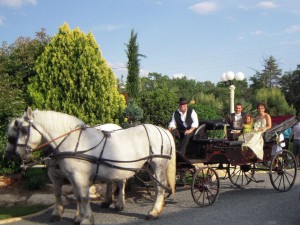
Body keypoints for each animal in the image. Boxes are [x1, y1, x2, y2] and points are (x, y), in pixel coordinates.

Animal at [5, 108, 176, 224]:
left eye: (24, 129)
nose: (9, 156)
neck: (72, 141)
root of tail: (163, 130)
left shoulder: (78, 175)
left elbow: (83, 197)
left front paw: (86, 219)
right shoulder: (70, 176)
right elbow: (76, 196)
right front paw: (78, 217)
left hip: (158, 165)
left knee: (159, 187)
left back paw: (153, 212)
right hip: (147, 167)